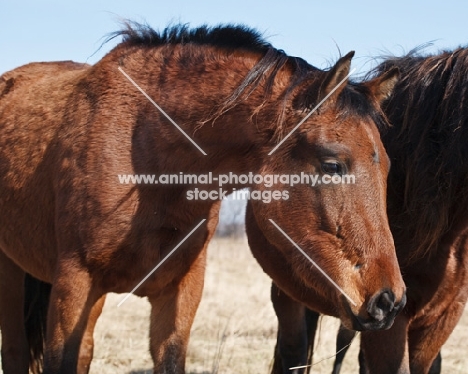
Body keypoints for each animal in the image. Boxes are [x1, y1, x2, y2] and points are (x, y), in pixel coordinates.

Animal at [0, 23, 404, 374]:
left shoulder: (180, 289)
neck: (147, 156)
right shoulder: (75, 283)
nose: (390, 301)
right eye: (333, 164)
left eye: (386, 166)